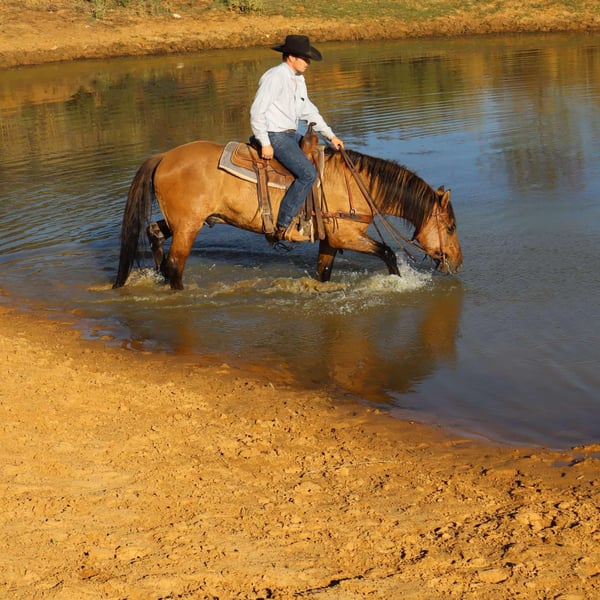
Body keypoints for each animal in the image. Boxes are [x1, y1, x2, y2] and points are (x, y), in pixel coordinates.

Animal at [113, 140, 462, 290]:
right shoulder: (346, 236)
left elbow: (323, 272)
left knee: (154, 233)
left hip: (182, 222)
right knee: (176, 264)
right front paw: (399, 283)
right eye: (450, 227)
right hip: (188, 226)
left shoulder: (330, 240)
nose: (457, 263)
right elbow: (388, 253)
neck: (355, 184)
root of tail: (164, 156)